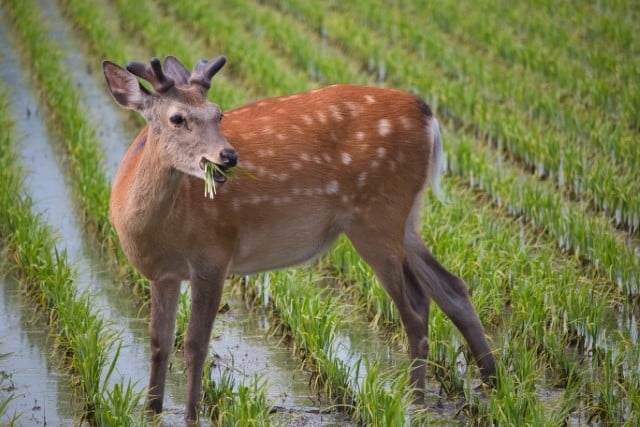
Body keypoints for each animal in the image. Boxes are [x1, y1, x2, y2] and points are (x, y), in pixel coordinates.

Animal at [102, 54, 498, 424]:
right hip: (407, 219)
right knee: (452, 287)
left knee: (415, 308)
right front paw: (151, 409)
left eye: (219, 114)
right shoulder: (163, 274)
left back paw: (415, 403)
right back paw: (493, 385)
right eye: (177, 118)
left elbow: (194, 344)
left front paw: (191, 415)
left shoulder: (213, 255)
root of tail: (427, 113)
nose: (228, 156)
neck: (153, 231)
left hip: (377, 215)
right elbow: (159, 343)